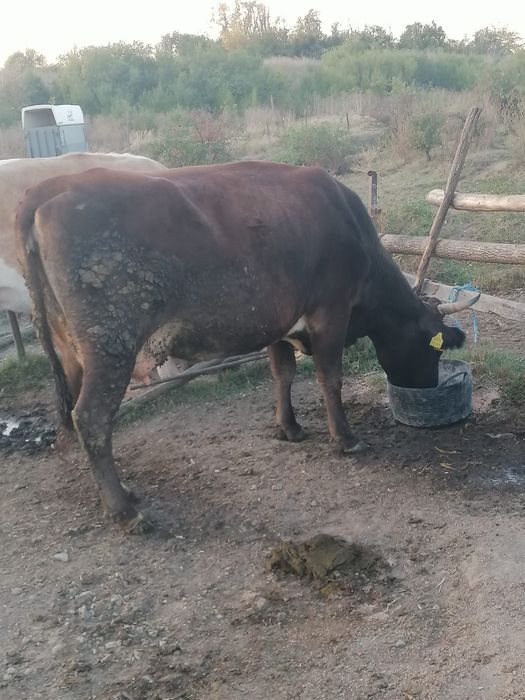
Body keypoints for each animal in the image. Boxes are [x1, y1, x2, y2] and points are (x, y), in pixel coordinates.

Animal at [16, 161, 478, 532]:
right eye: (433, 347)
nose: (427, 386)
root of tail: (47, 188)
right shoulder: (330, 312)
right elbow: (330, 378)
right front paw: (345, 439)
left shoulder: (278, 321)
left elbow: (283, 374)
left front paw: (288, 428)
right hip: (110, 342)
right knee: (91, 417)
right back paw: (125, 511)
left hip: (70, 349)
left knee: (75, 416)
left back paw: (121, 492)